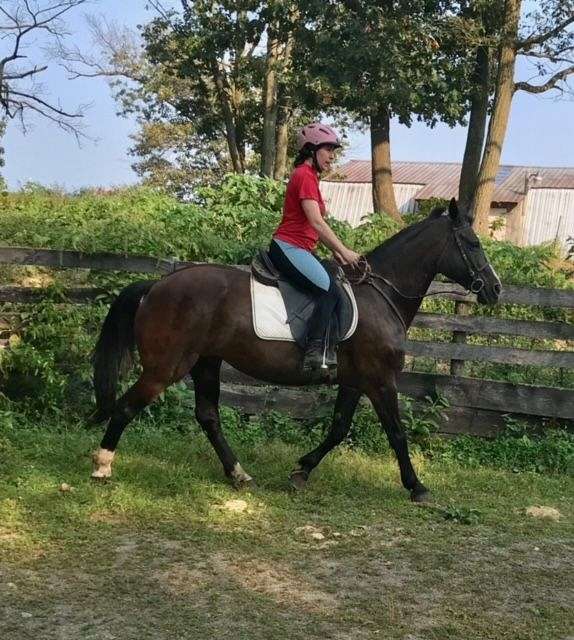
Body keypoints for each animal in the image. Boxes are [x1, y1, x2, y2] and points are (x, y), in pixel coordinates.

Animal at [90, 198, 500, 502]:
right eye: (473, 244)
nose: (495, 289)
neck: (380, 295)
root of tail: (156, 285)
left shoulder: (356, 381)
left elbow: (338, 428)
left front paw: (302, 469)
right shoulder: (381, 379)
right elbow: (397, 432)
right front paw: (417, 487)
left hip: (207, 361)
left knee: (208, 415)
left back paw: (239, 474)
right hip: (167, 367)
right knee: (127, 407)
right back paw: (102, 466)